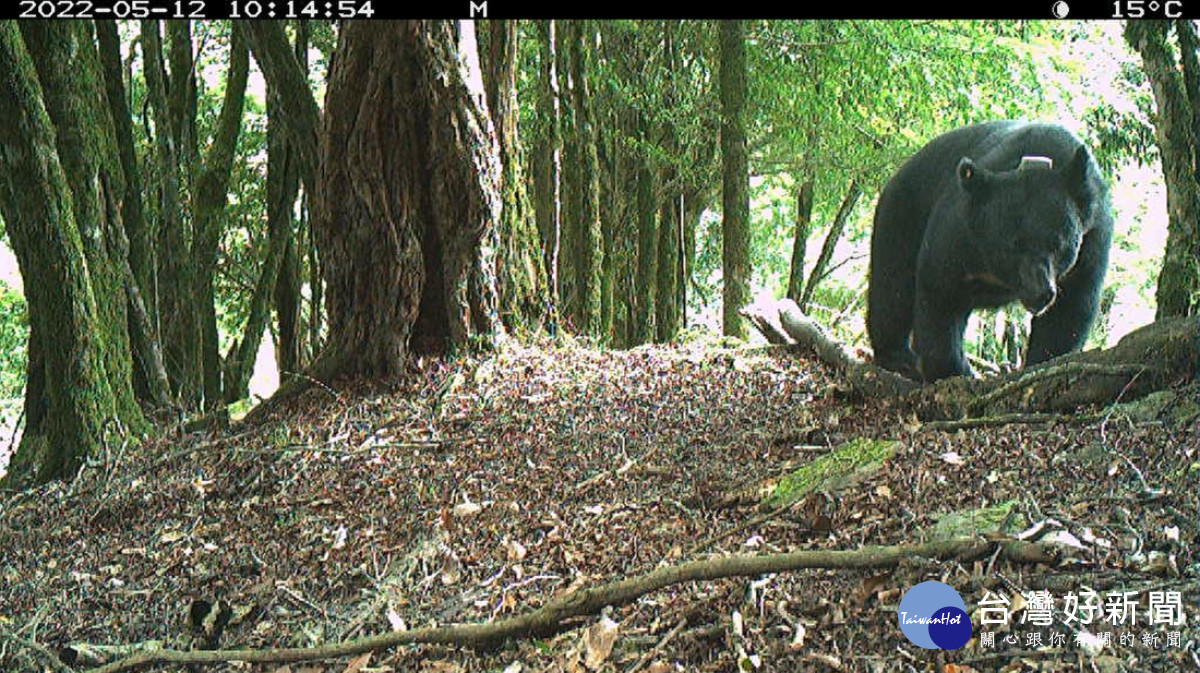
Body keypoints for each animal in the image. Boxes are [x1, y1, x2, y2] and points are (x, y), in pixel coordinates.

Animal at [867, 121, 1113, 382]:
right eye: (1012, 245)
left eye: (1058, 244)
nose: (1040, 292)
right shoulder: (958, 229)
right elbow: (940, 292)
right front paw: (954, 371)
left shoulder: (1092, 239)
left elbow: (1069, 310)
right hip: (903, 212)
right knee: (893, 285)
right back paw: (899, 359)